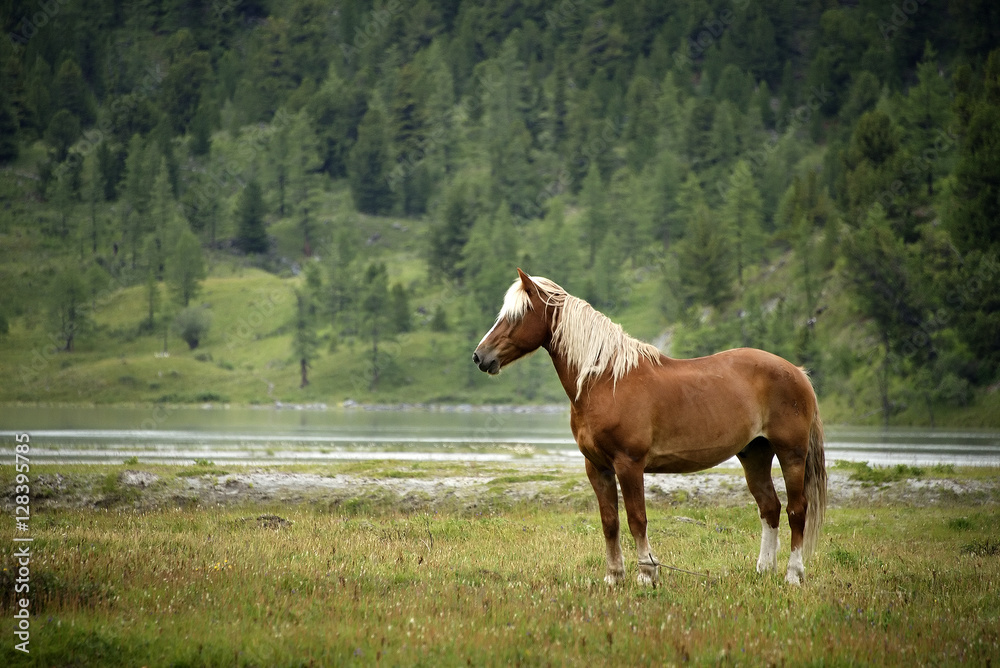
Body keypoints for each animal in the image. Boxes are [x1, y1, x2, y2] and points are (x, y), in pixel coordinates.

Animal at [473, 269, 827, 586]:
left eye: (517, 316)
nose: (480, 356)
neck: (606, 380)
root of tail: (797, 372)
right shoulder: (597, 467)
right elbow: (610, 521)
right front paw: (613, 577)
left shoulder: (629, 465)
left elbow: (636, 519)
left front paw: (646, 575)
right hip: (754, 454)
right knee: (770, 507)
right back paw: (763, 570)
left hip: (791, 454)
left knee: (796, 510)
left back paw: (793, 576)